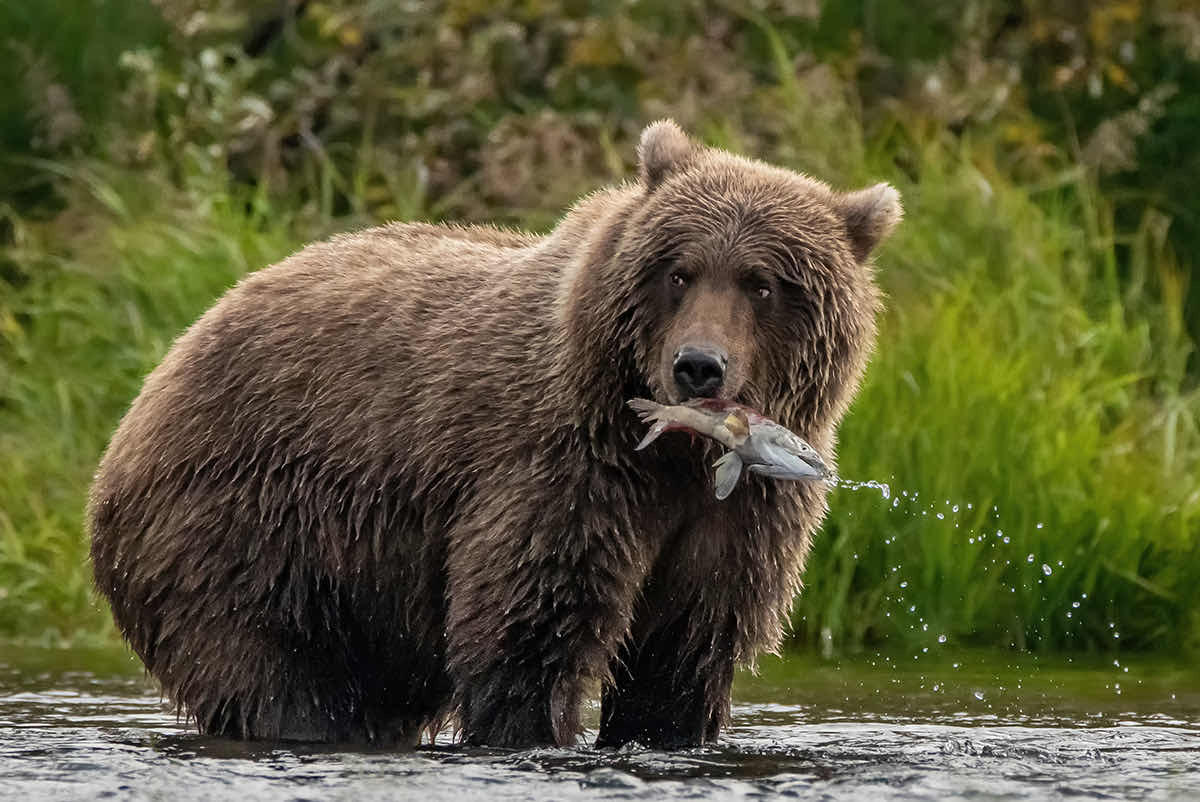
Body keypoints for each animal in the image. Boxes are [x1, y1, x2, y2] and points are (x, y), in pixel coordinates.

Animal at [88, 120, 900, 748]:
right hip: (244, 523)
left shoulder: (739, 515)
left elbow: (685, 650)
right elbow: (530, 627)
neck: (676, 454)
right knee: (273, 672)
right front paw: (534, 731)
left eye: (763, 283)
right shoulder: (562, 466)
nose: (699, 366)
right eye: (679, 271)